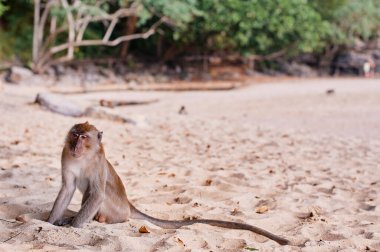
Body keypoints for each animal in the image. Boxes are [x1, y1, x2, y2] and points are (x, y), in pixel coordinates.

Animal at [47, 122, 290, 246]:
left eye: (84, 137)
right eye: (74, 134)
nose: (76, 145)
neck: (83, 157)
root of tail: (129, 204)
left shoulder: (98, 162)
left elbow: (97, 193)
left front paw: (73, 226)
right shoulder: (65, 155)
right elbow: (68, 188)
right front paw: (51, 221)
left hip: (117, 208)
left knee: (99, 194)